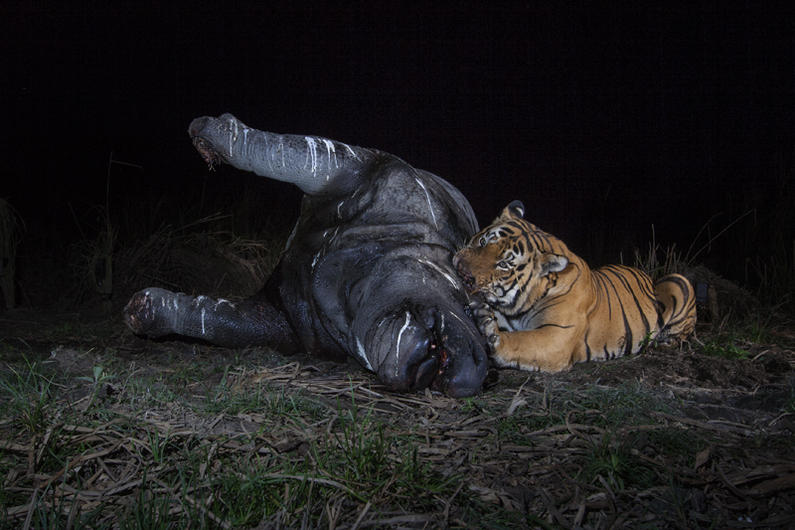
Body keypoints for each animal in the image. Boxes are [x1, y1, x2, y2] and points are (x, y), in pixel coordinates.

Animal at [454, 199, 696, 372]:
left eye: (504, 264)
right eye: (483, 241)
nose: (462, 272)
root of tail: (646, 274)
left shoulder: (557, 336)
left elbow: (520, 340)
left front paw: (489, 331)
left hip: (677, 280)